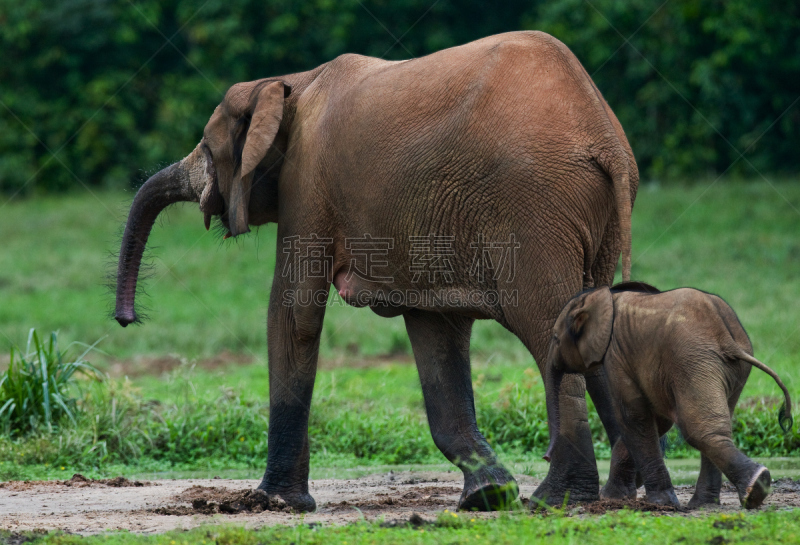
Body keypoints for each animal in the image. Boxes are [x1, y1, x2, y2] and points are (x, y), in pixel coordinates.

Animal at [112, 31, 640, 510]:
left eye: (206, 146)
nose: (126, 319)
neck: (289, 83)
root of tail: (605, 140)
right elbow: (434, 333)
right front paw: (488, 496)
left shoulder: (306, 180)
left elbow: (294, 315)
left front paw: (273, 502)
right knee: (593, 325)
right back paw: (618, 495)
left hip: (532, 207)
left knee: (552, 327)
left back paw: (557, 499)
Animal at [544, 282, 792, 508]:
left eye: (555, 338)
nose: (546, 457)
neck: (603, 298)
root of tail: (726, 337)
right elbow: (655, 420)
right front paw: (614, 498)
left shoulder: (616, 355)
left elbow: (633, 416)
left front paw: (656, 503)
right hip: (727, 368)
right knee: (716, 425)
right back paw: (708, 504)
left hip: (691, 359)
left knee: (697, 428)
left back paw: (752, 489)